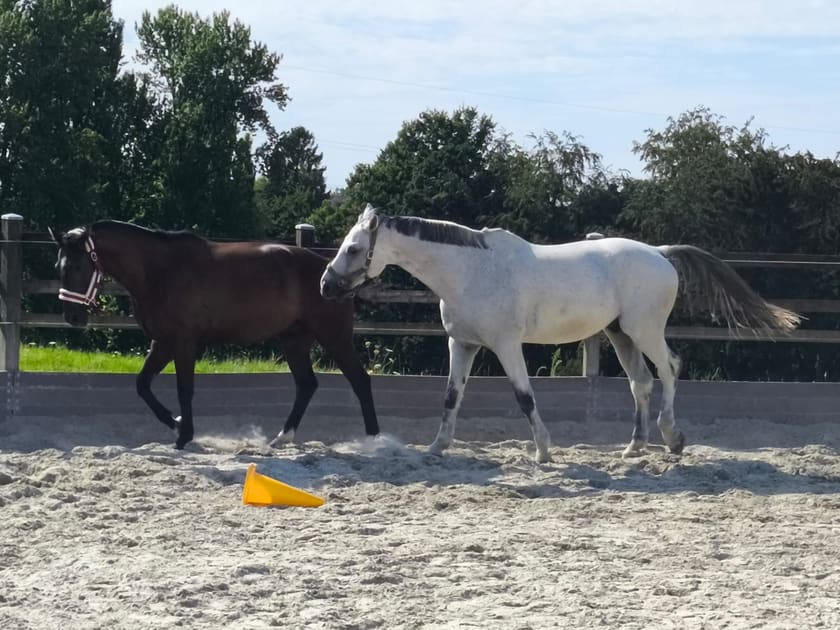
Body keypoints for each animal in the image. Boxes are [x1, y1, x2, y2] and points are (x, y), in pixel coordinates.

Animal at [50, 220, 379, 449]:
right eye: (58, 265)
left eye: (77, 265)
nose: (72, 317)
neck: (159, 270)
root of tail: (333, 276)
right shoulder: (163, 342)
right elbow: (142, 385)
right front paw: (176, 424)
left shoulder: (183, 342)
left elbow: (184, 390)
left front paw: (184, 435)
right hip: (293, 340)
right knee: (307, 385)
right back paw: (282, 438)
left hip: (334, 337)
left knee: (359, 380)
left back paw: (375, 440)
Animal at [321, 204, 800, 463]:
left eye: (355, 249)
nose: (326, 286)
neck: (471, 271)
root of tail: (660, 254)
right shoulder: (464, 344)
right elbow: (451, 397)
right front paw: (437, 448)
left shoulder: (506, 346)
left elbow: (524, 397)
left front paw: (544, 451)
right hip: (620, 335)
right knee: (640, 382)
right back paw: (634, 448)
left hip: (644, 330)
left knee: (670, 369)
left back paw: (672, 438)